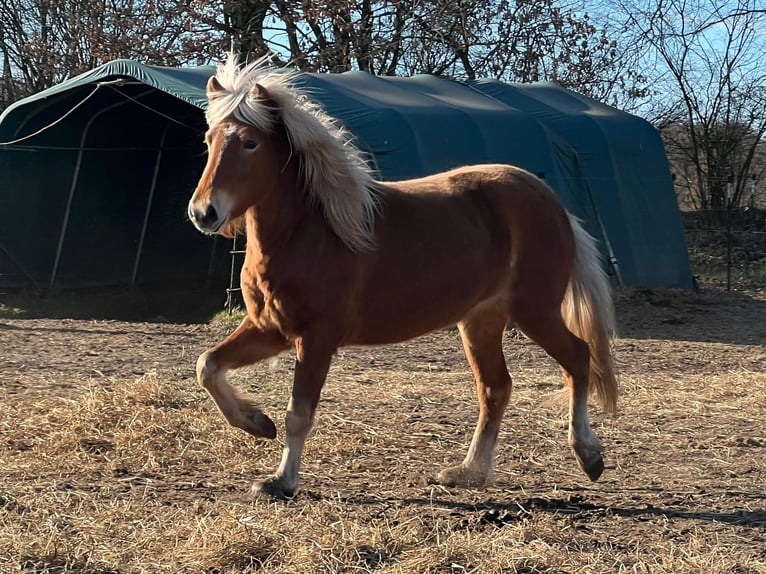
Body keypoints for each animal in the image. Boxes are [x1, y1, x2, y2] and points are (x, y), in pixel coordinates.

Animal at [187, 54, 618, 499]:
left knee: (578, 358)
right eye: (209, 140)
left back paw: (588, 454)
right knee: (495, 388)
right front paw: (257, 423)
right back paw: (468, 472)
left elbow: (299, 413)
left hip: (535, 311)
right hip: (481, 320)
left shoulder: (316, 338)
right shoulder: (269, 329)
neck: (312, 231)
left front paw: (281, 481)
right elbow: (208, 366)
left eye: (250, 143)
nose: (204, 213)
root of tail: (554, 204)